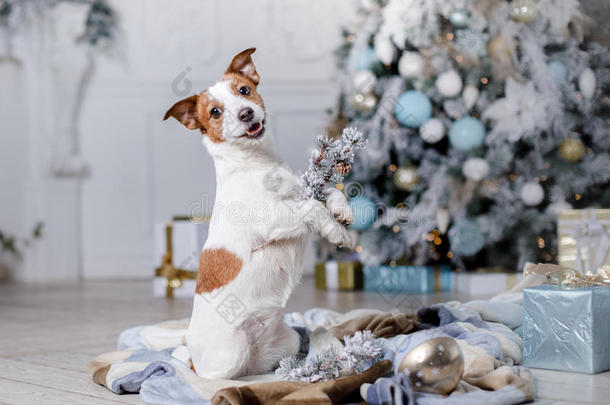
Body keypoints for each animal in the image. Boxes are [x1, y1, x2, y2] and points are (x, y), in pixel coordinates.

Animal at [164, 48, 354, 378]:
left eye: (244, 90)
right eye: (215, 111)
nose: (246, 113)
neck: (257, 163)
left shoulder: (301, 191)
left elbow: (328, 191)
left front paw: (342, 212)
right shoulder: (272, 219)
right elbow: (313, 208)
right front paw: (334, 231)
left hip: (288, 341)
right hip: (231, 355)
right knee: (220, 376)